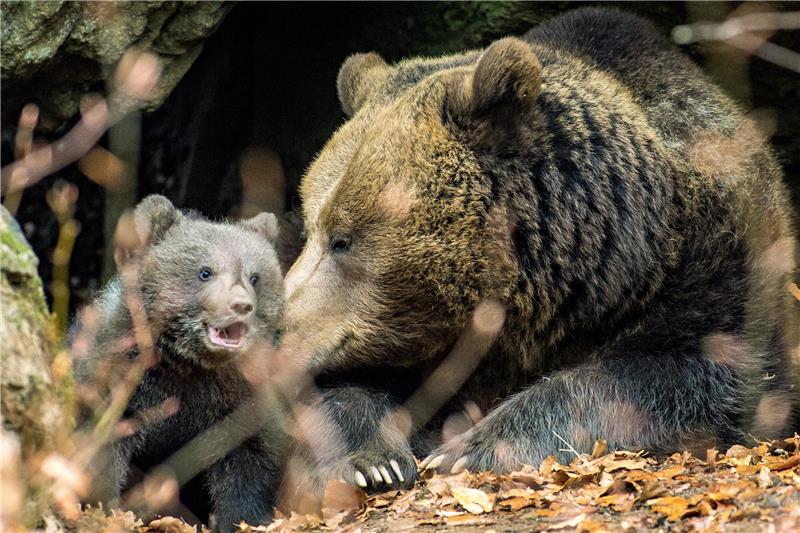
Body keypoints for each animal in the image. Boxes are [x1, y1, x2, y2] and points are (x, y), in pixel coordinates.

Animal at [278, 8, 796, 490]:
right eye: (309, 227)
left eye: (342, 239)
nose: (277, 331)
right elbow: (346, 392)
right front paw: (371, 459)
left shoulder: (713, 270)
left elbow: (697, 378)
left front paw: (470, 448)